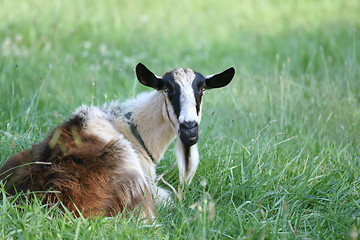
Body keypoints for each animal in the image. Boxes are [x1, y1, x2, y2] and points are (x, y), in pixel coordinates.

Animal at [0, 62, 235, 219]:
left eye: (202, 89)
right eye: (167, 89)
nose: (189, 128)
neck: (129, 128)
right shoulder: (152, 188)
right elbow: (170, 198)